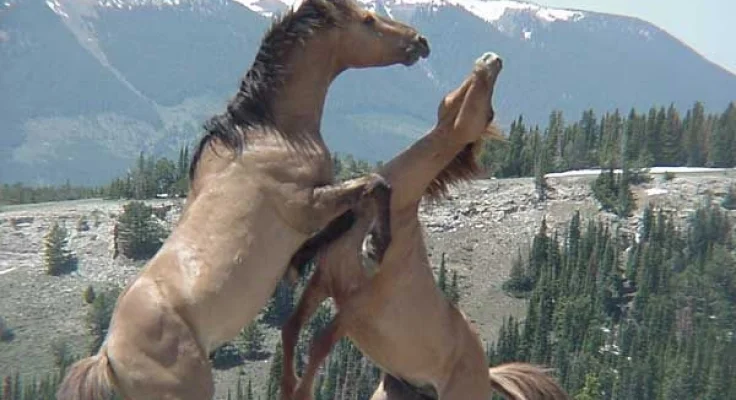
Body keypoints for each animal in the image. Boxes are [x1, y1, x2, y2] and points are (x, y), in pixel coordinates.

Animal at [56, 0, 429, 398]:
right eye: (368, 20)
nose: (420, 42)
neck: (273, 134)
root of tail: (108, 357)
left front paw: (300, 263)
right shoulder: (306, 207)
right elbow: (376, 185)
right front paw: (377, 245)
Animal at [280, 52, 570, 400]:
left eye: (488, 111)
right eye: (463, 94)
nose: (492, 59)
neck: (396, 215)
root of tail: (487, 374)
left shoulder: (358, 306)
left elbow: (318, 344)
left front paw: (300, 392)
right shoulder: (324, 281)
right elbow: (291, 329)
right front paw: (288, 386)